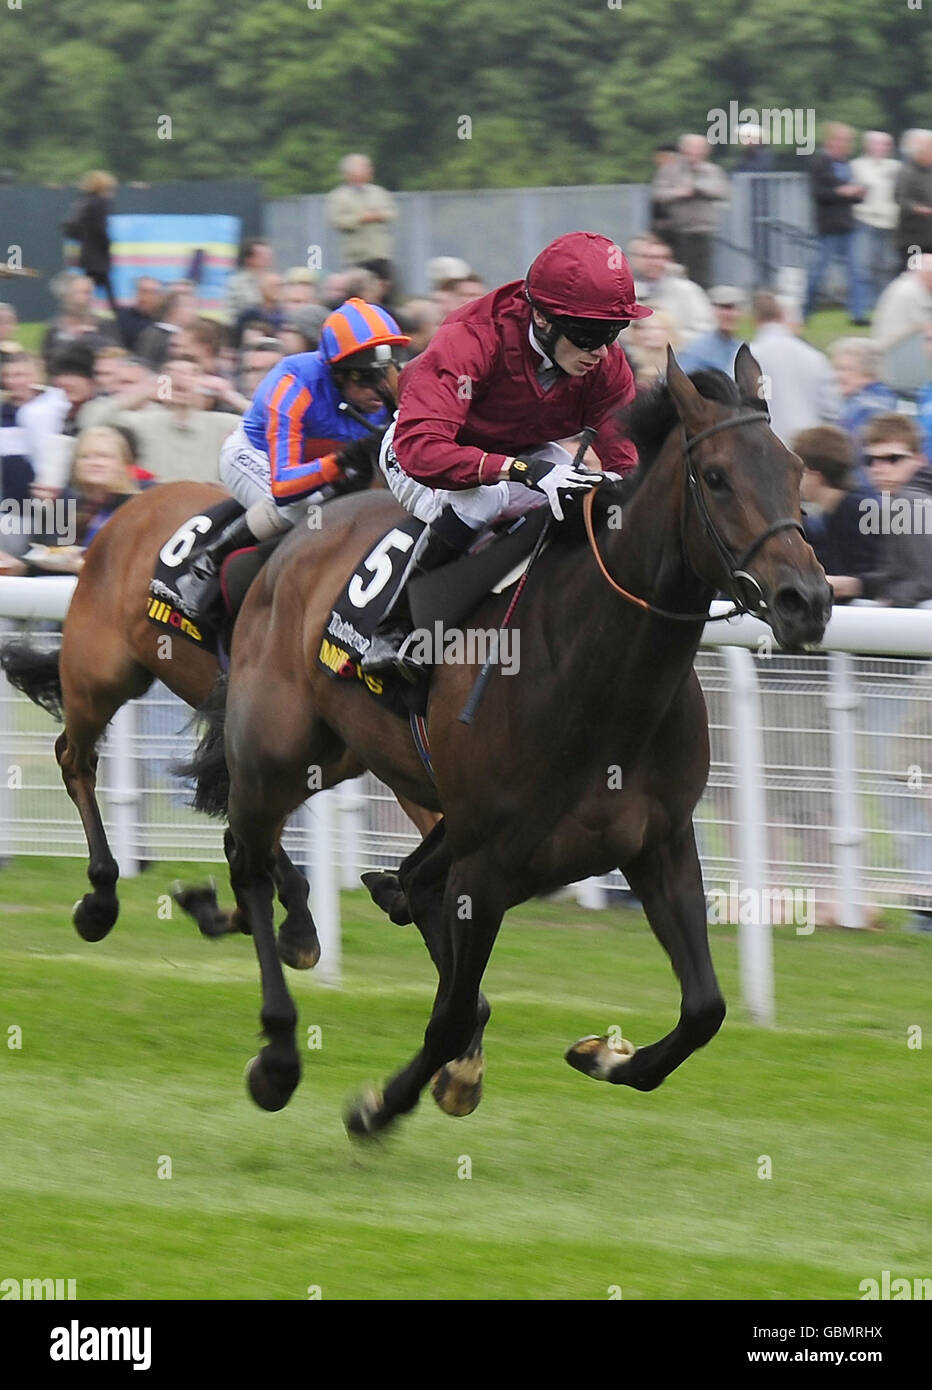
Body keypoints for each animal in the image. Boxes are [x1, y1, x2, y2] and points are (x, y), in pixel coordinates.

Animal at [181, 347, 833, 1128]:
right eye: (716, 476)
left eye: (795, 469)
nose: (806, 600)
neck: (596, 669)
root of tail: (290, 539)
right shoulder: (486, 866)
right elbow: (449, 1012)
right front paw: (379, 1106)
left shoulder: (660, 841)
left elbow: (705, 1007)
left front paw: (604, 1056)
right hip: (275, 755)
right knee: (249, 862)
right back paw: (279, 1053)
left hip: (368, 764)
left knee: (397, 879)